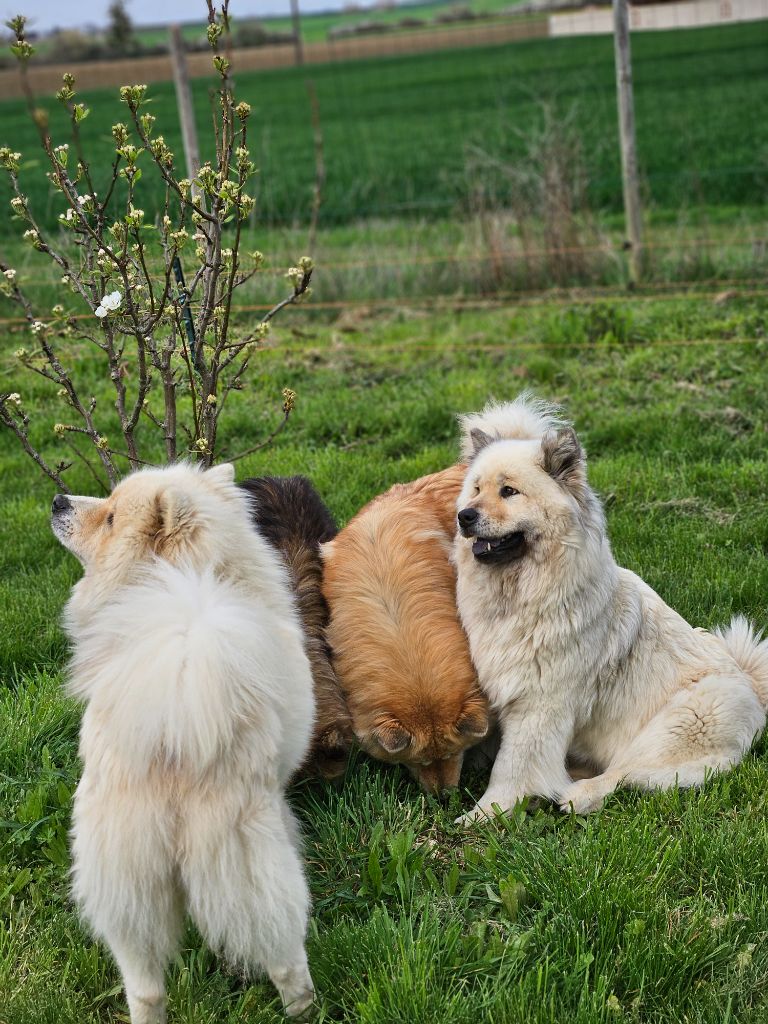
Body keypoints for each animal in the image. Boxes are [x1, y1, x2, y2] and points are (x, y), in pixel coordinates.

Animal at [51, 463, 316, 1022]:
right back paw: (306, 1008)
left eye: (110, 517)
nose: (59, 500)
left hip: (126, 884)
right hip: (249, 865)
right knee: (284, 959)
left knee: (145, 985)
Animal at [453, 394, 768, 822]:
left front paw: (487, 814)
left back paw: (579, 795)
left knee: (628, 772)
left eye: (509, 491)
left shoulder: (539, 704)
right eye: (476, 489)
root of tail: (752, 684)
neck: (524, 596)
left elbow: (512, 766)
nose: (464, 516)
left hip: (686, 717)